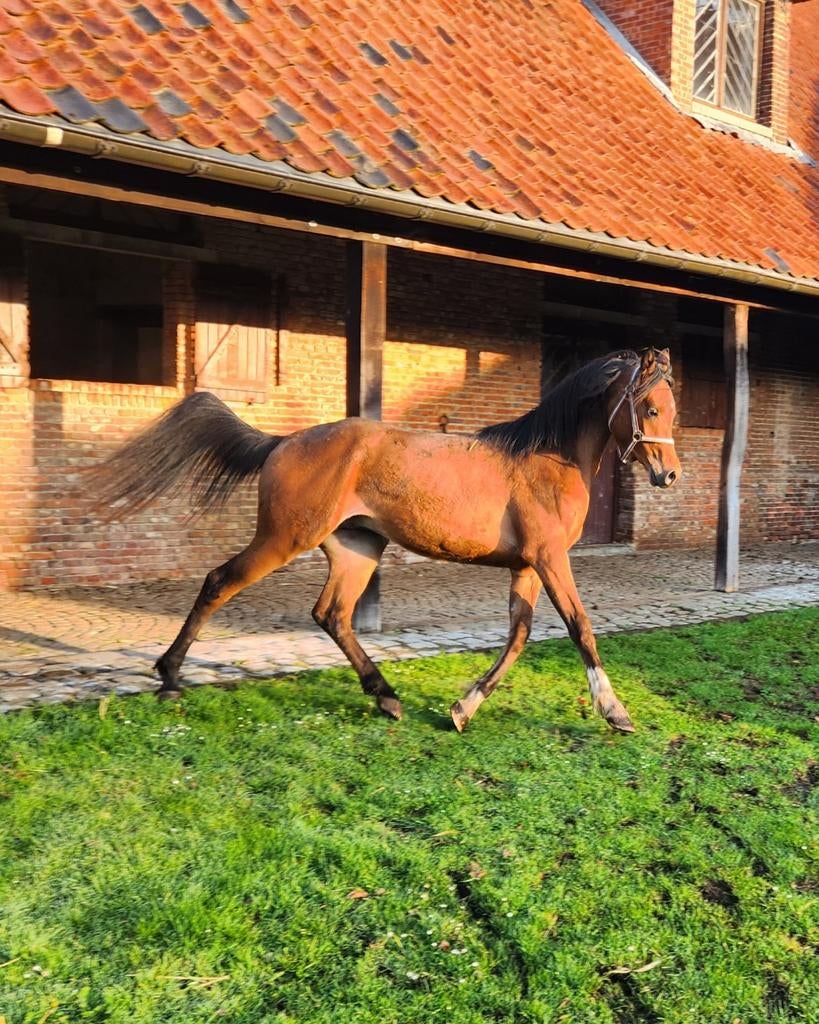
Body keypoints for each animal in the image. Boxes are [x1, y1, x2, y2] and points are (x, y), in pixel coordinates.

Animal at [93, 346, 680, 733]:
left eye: (675, 411)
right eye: (650, 408)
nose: (668, 475)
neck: (546, 458)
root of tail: (284, 442)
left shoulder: (526, 565)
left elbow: (518, 636)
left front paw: (462, 709)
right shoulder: (549, 557)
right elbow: (580, 627)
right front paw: (616, 712)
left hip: (357, 549)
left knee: (332, 614)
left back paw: (387, 698)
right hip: (285, 538)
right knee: (220, 582)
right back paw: (170, 677)